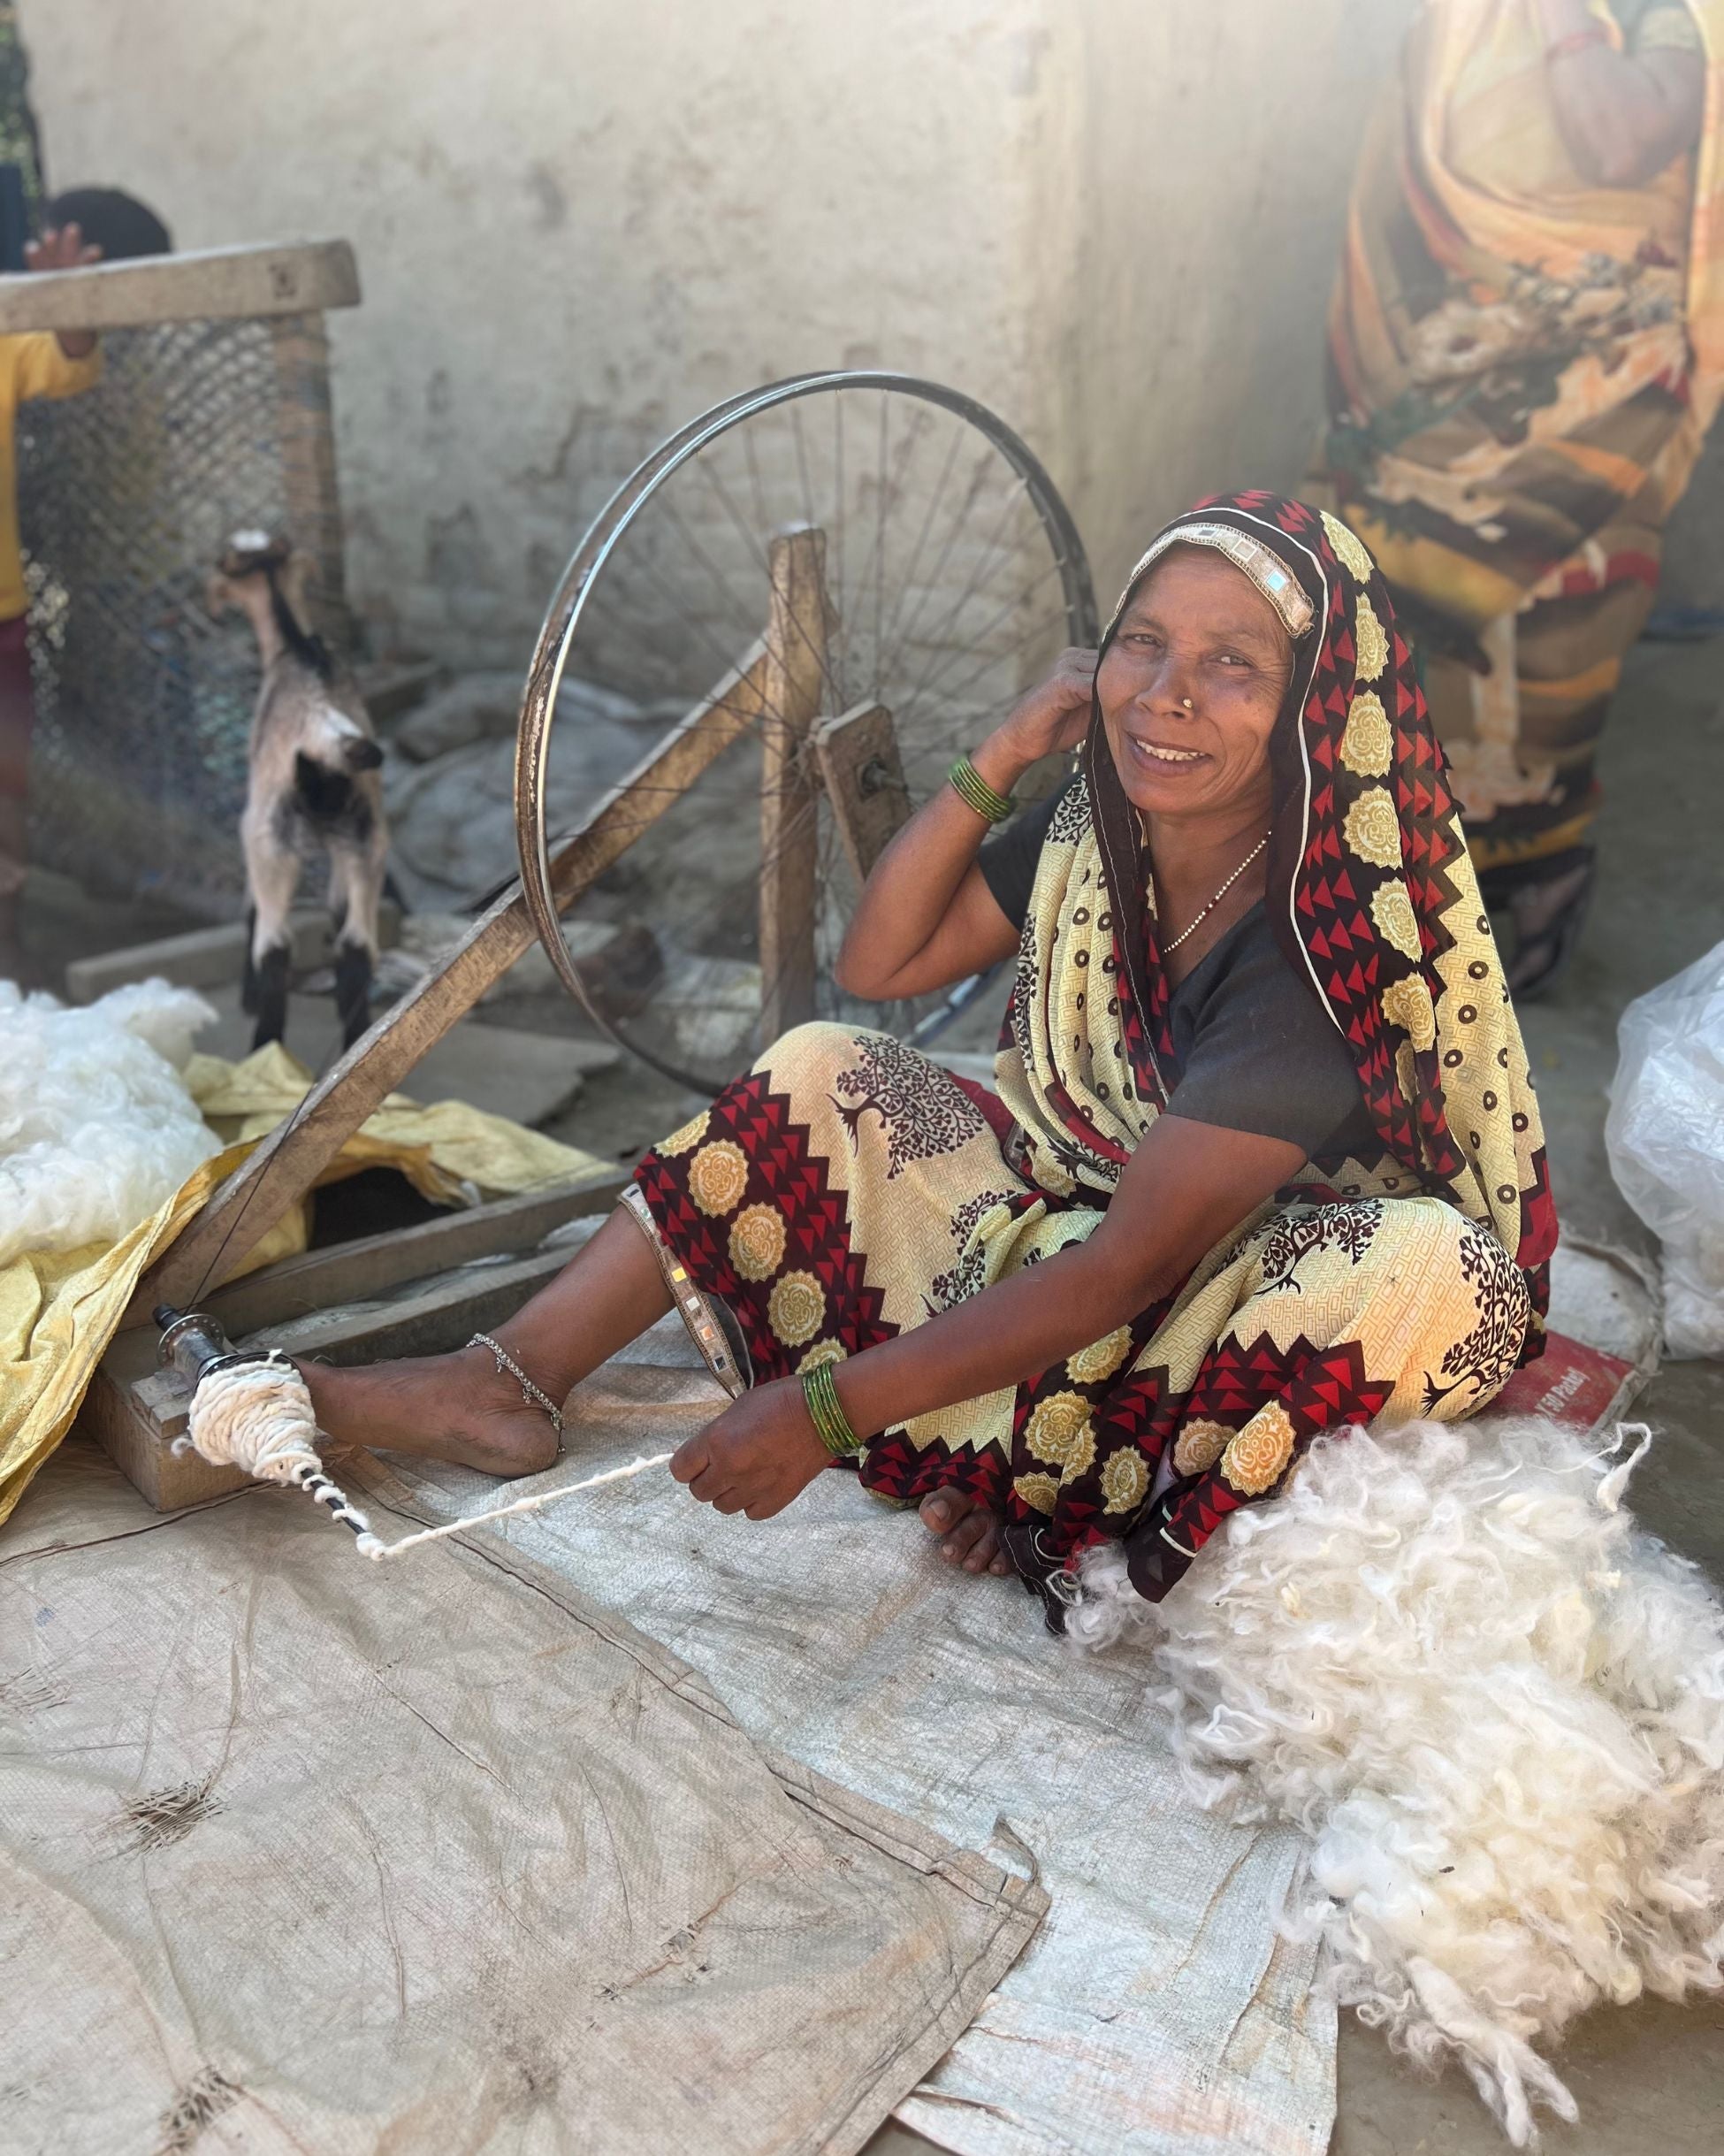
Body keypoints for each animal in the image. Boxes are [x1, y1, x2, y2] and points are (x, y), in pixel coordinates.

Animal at [210, 530, 387, 1051]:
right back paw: (357, 1041)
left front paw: (248, 997)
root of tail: (330, 737)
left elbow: (250, 908)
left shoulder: (254, 829)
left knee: (274, 943)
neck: (295, 645)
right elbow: (338, 913)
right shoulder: (349, 849)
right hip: (368, 839)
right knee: (357, 945)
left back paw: (265, 1045)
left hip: (272, 838)